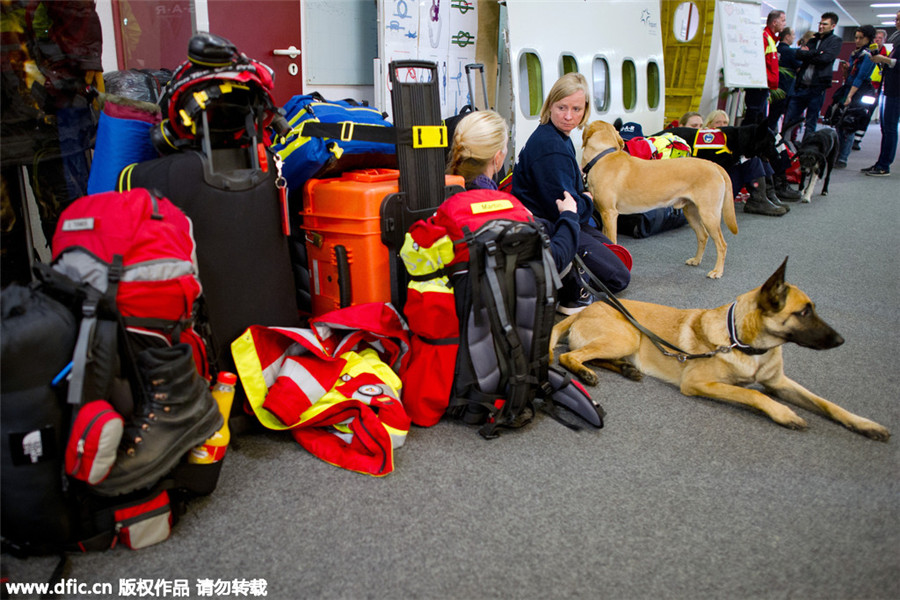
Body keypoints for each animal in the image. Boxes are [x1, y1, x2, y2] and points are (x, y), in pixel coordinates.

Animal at [548, 258, 892, 440]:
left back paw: (625, 369)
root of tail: (586, 309)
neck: (744, 343)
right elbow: (753, 394)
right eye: (803, 312)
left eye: (813, 309)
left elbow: (827, 404)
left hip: (626, 343)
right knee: (568, 355)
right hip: (626, 337)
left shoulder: (779, 383)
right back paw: (585, 374)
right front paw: (783, 413)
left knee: (595, 357)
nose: (841, 341)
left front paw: (864, 424)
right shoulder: (698, 383)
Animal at [584, 120, 740, 278]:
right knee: (703, 236)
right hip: (691, 212)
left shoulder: (610, 214)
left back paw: (717, 271)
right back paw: (696, 260)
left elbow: (611, 241)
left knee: (722, 244)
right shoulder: (604, 214)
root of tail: (715, 165)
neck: (602, 156)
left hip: (709, 214)